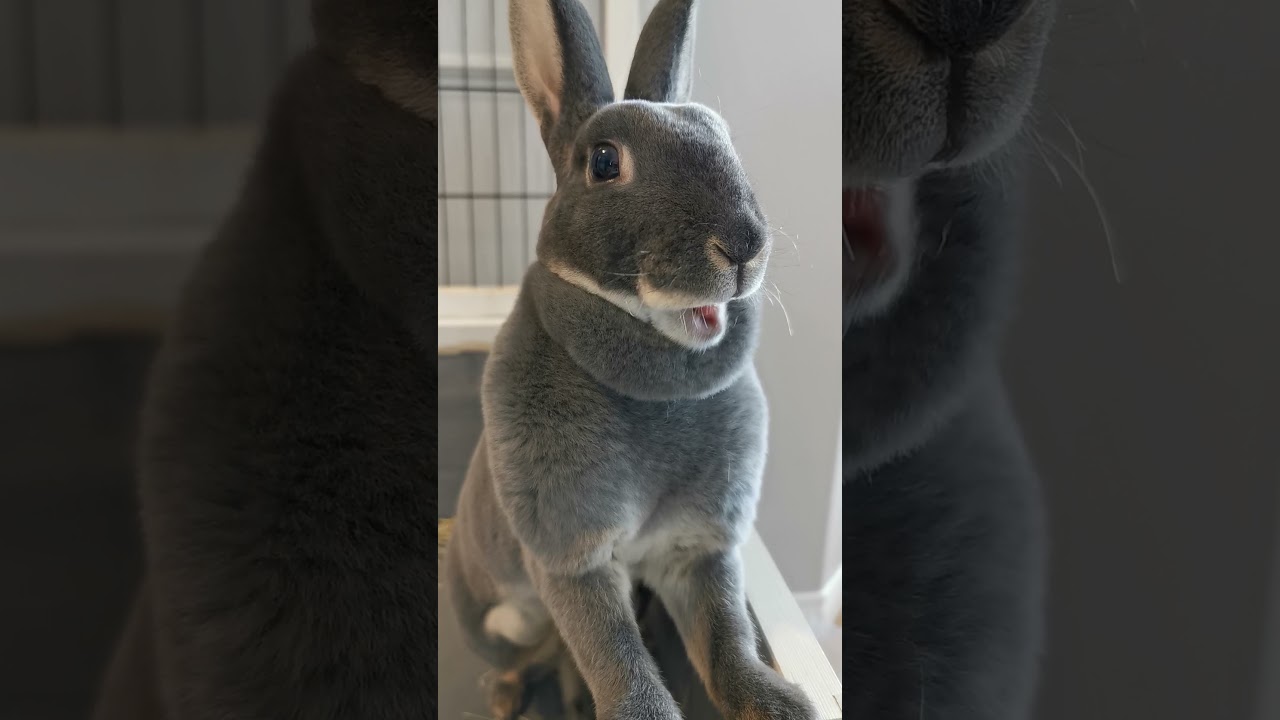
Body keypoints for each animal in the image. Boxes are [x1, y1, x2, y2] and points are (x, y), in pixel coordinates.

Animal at [443, 0, 817, 719]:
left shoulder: (698, 549)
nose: (744, 245)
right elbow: (616, 658)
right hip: (505, 617)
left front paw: (782, 703)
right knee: (526, 654)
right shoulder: (574, 559)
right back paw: (505, 695)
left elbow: (726, 642)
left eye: (724, 138)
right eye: (604, 161)